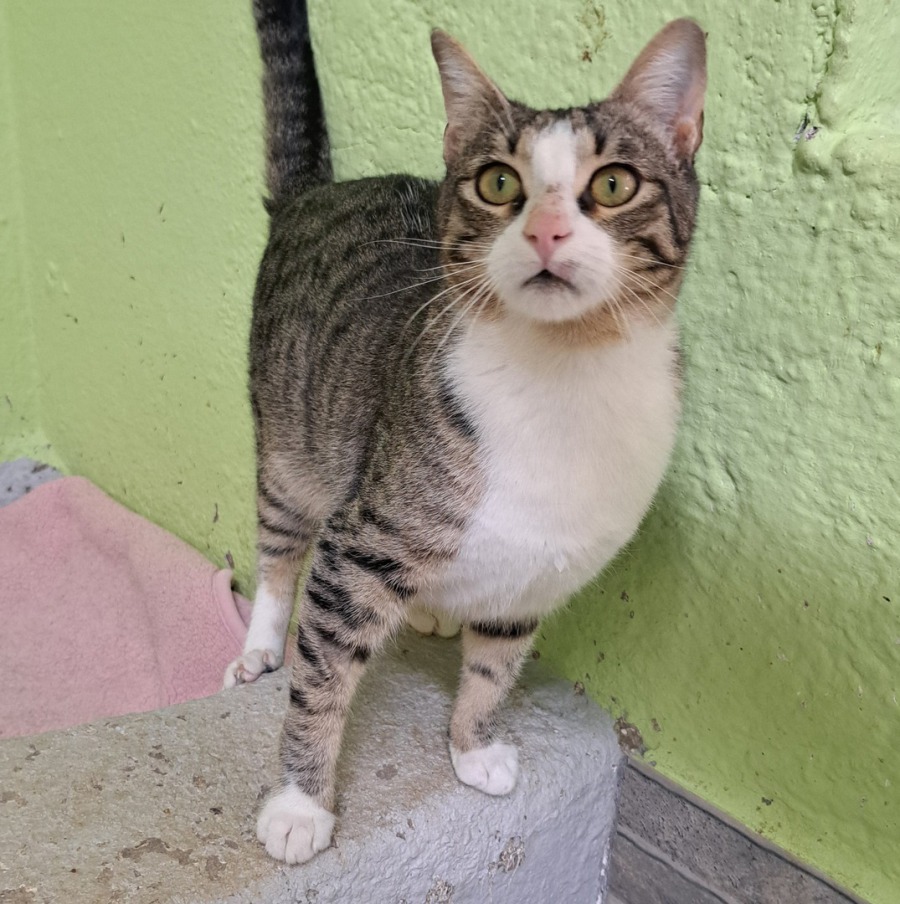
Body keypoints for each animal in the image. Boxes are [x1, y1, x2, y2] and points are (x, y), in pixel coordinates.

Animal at [225, 0, 706, 865]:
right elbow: (322, 683)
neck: (562, 379)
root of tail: (315, 194)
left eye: (613, 184)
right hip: (287, 441)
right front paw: (301, 803)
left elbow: (495, 669)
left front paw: (473, 748)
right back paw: (261, 644)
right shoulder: (358, 545)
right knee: (279, 551)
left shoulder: (538, 575)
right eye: (499, 182)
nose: (546, 231)